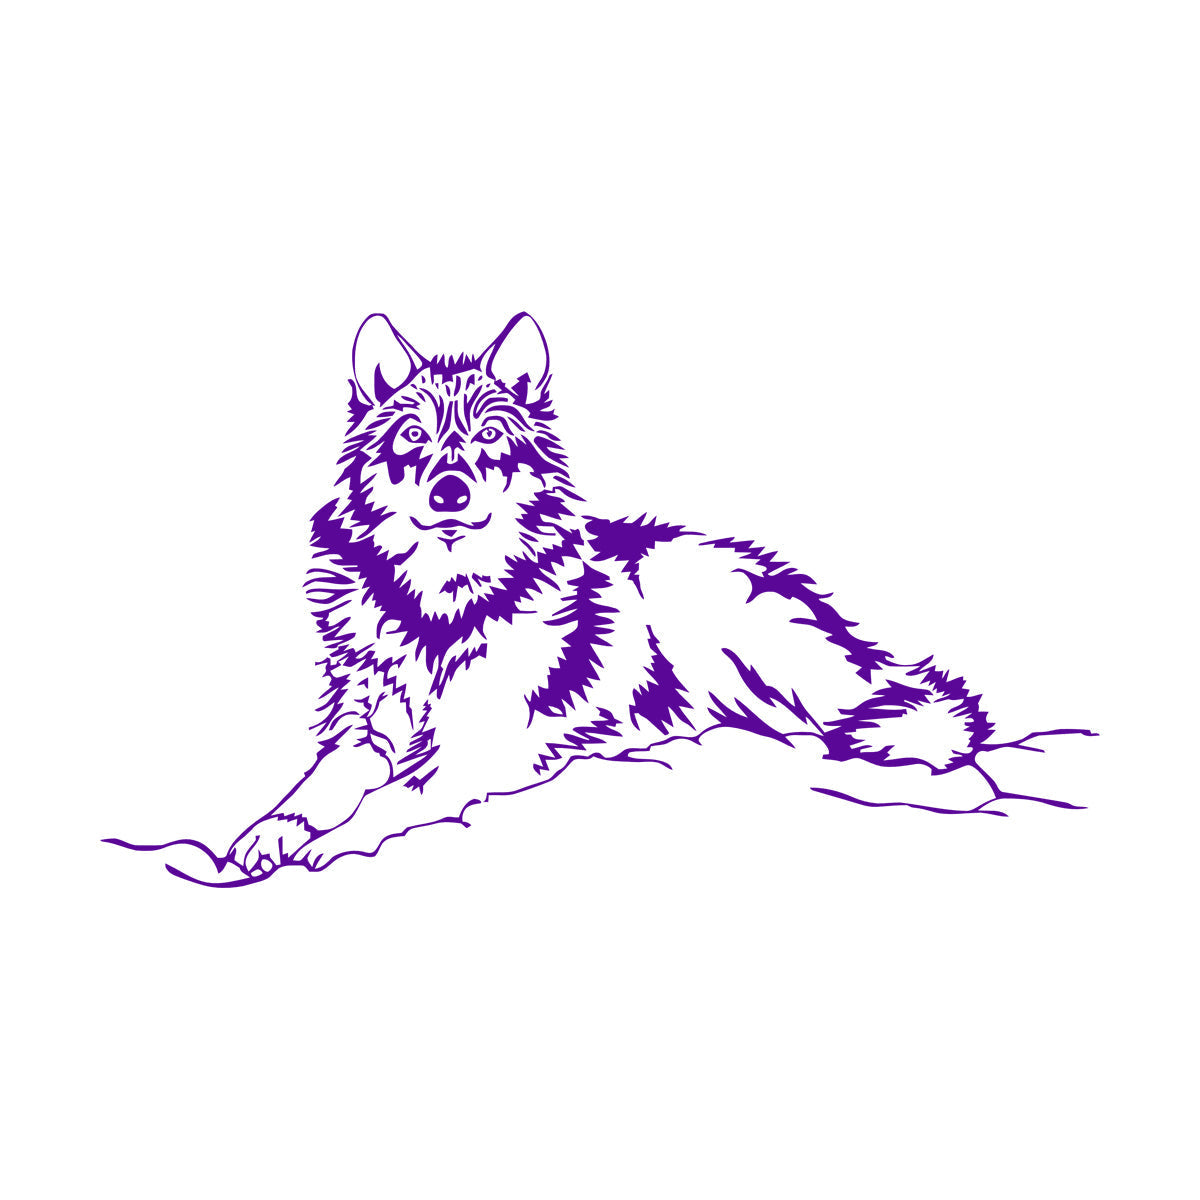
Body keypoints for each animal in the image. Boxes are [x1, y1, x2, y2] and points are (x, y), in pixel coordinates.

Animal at [120, 312, 1090, 883]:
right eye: (412, 445)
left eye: (489, 444)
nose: (449, 491)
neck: (438, 609)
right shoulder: (363, 732)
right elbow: (316, 786)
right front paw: (268, 832)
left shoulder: (471, 754)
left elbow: (387, 806)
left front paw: (325, 845)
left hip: (751, 641)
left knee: (873, 721)